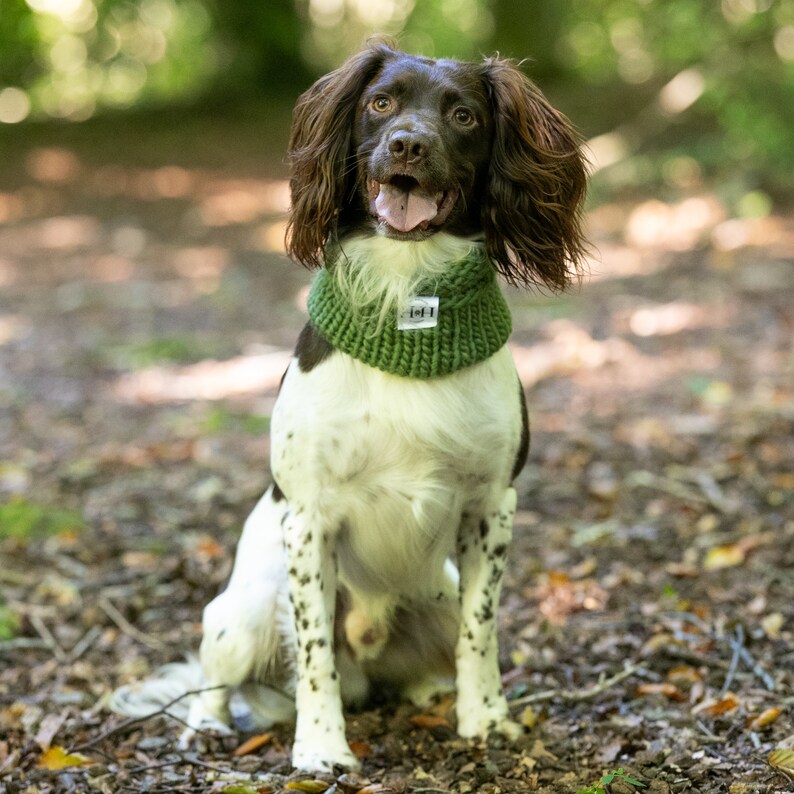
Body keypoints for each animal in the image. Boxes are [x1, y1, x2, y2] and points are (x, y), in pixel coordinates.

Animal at [108, 38, 584, 772]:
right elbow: (314, 652)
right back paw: (204, 727)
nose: (408, 144)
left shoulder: (491, 506)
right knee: (218, 674)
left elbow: (482, 632)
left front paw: (485, 719)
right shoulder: (309, 517)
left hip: (439, 590)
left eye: (464, 115)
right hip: (243, 611)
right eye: (380, 103)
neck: (407, 304)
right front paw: (321, 747)